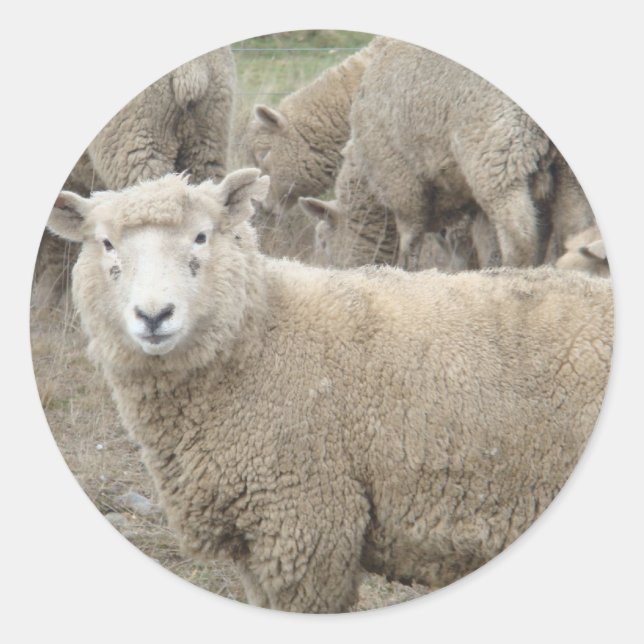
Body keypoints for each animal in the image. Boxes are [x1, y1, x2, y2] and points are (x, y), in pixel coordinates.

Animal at [47, 170, 613, 613]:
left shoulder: (308, 524)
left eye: (202, 237)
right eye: (106, 244)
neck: (261, 338)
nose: (154, 315)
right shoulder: (256, 540)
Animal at [349, 40, 594, 270]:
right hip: (566, 174)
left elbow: (411, 240)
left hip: (497, 160)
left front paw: (407, 270)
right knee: (576, 231)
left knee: (519, 236)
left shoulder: (401, 181)